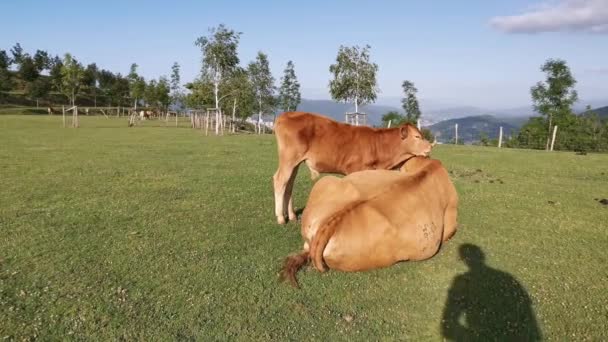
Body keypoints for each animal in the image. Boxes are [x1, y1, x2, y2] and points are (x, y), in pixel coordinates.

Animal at [270, 111, 432, 226]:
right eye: (417, 137)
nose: (430, 147)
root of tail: (286, 114)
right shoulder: (354, 170)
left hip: (294, 163)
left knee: (289, 184)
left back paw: (291, 216)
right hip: (288, 159)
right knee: (280, 180)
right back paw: (280, 217)